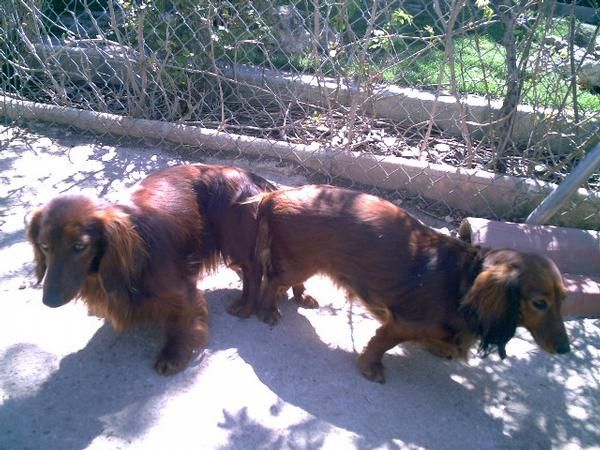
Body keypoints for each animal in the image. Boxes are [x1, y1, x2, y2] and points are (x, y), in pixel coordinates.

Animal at [29, 163, 276, 374]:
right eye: (44, 246)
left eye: (79, 246)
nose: (49, 301)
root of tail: (249, 175)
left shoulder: (180, 287)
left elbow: (180, 319)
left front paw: (173, 354)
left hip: (235, 241)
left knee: (252, 272)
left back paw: (245, 305)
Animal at [253, 186, 572, 384]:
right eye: (539, 303)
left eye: (564, 299)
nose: (566, 349)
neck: (463, 284)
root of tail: (275, 195)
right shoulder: (402, 323)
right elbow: (382, 343)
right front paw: (371, 367)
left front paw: (440, 349)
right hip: (296, 264)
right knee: (271, 282)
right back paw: (268, 310)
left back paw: (302, 295)